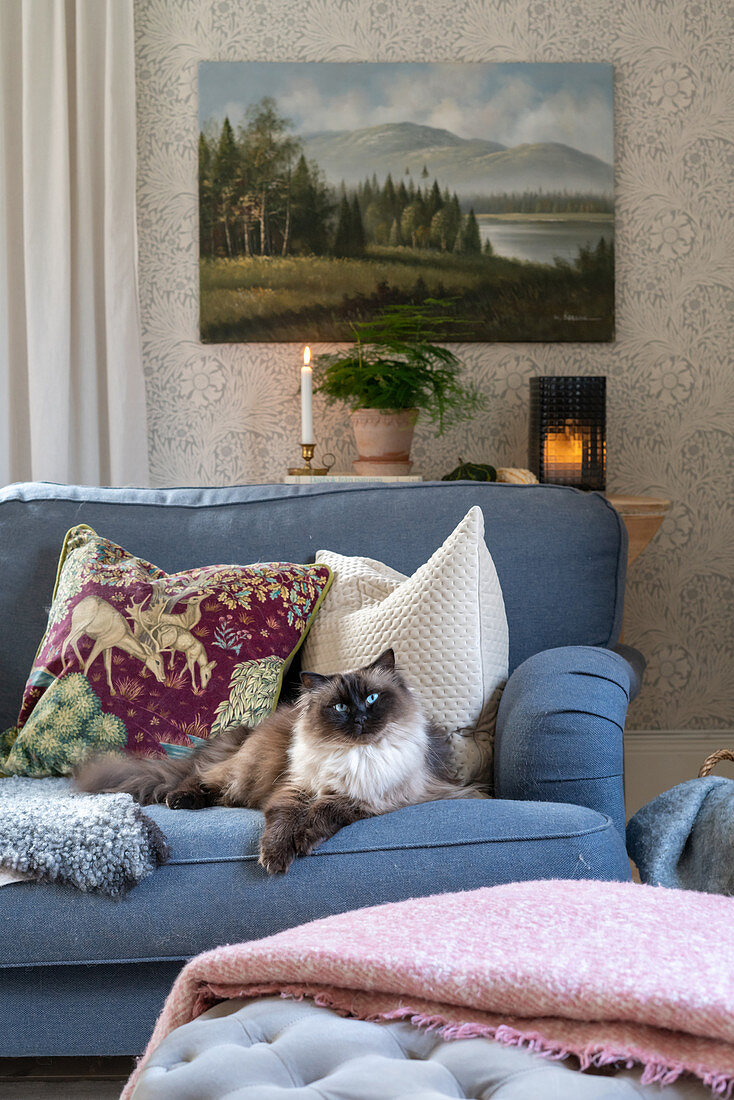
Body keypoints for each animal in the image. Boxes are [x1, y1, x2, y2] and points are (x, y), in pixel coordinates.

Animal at [74, 646, 477, 871]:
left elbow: (322, 816)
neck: (352, 755)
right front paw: (276, 857)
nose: (360, 718)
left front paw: (302, 842)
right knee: (203, 778)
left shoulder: (363, 800)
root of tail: (250, 729)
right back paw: (179, 800)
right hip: (244, 771)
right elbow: (282, 824)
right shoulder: (294, 789)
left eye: (372, 699)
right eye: (340, 707)